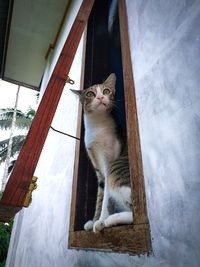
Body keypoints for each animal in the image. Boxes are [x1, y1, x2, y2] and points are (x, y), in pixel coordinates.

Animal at [70, 74, 133, 234]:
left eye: (106, 91)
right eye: (90, 94)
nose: (100, 97)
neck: (97, 126)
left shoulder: (108, 161)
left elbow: (106, 197)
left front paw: (100, 220)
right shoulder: (98, 167)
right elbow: (100, 194)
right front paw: (94, 220)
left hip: (115, 170)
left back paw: (110, 219)